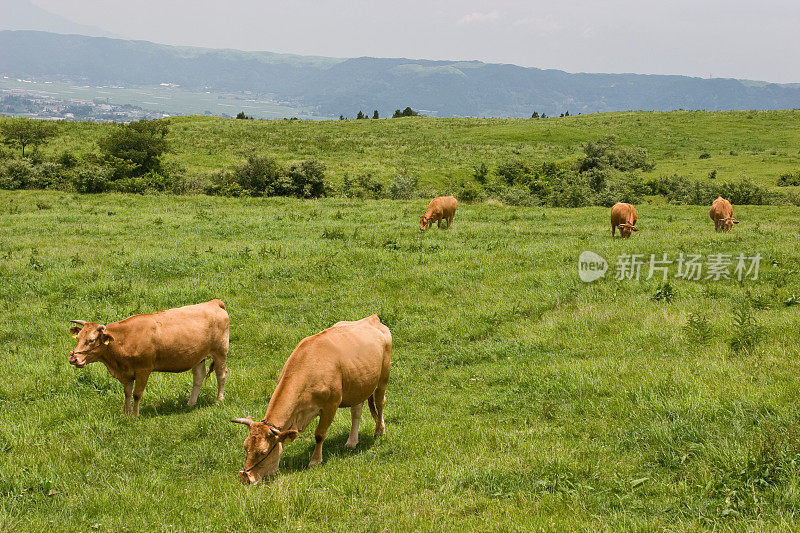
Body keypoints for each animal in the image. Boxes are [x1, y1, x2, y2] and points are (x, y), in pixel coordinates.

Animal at [67, 300, 230, 416]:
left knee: (221, 375)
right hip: (198, 357)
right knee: (199, 377)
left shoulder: (143, 369)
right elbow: (127, 393)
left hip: (220, 351)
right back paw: (191, 403)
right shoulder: (126, 373)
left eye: (91, 340)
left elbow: (136, 394)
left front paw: (135, 415)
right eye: (78, 338)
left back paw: (219, 400)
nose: (74, 359)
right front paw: (125, 414)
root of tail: (214, 302)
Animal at [231, 314, 390, 484]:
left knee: (380, 403)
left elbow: (319, 434)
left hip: (383, 378)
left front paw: (315, 460)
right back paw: (352, 441)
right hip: (358, 385)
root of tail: (372, 318)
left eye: (263, 452)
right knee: (356, 412)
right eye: (246, 448)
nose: (244, 477)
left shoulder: (331, 406)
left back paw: (379, 430)